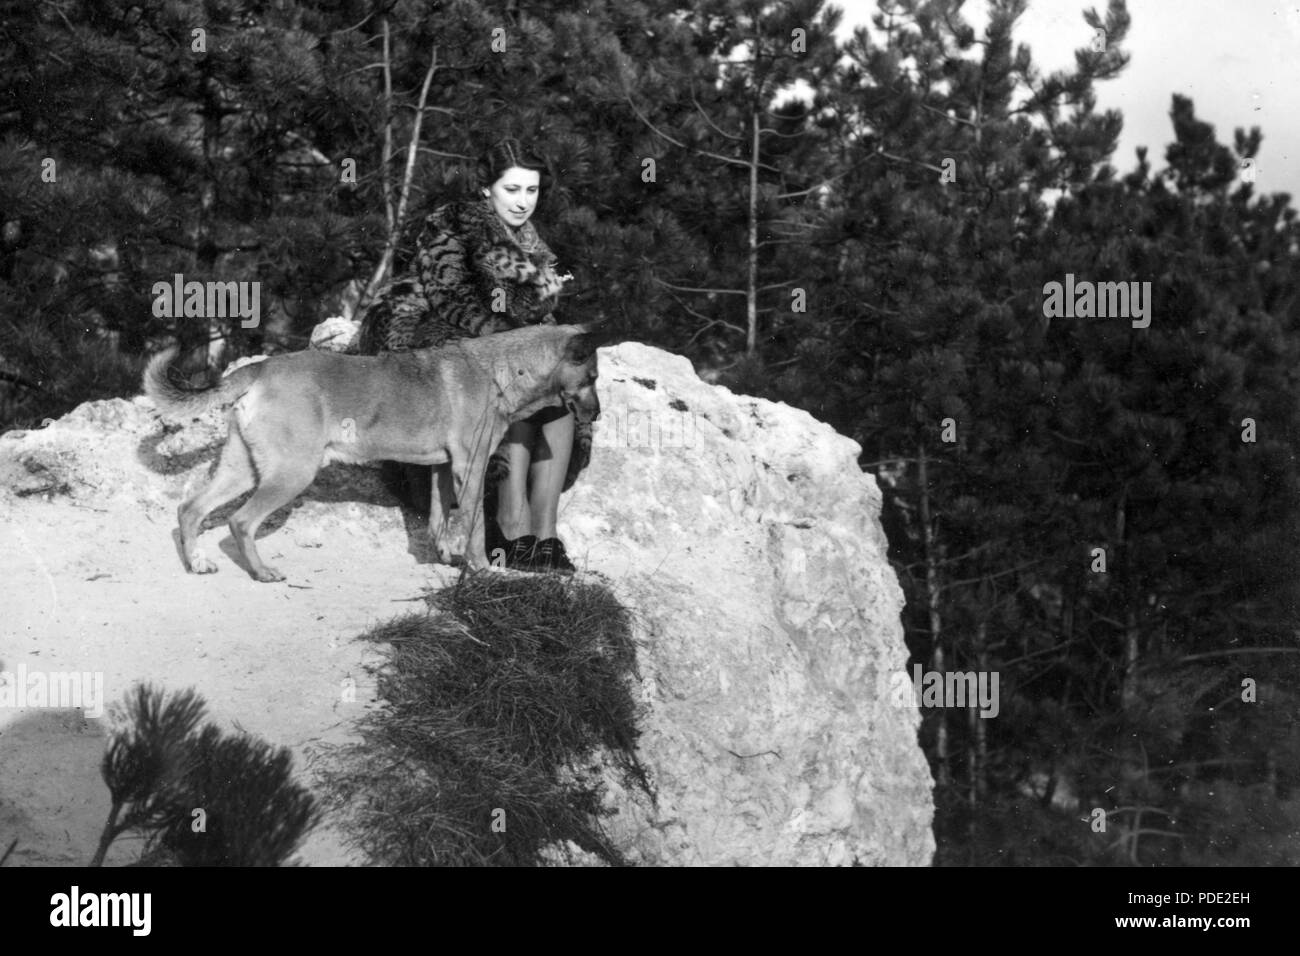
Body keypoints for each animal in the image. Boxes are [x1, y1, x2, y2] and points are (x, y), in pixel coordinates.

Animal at [142, 321, 603, 580]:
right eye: (593, 377)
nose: (597, 414)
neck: (500, 370)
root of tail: (260, 369)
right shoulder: (469, 469)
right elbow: (473, 528)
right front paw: (482, 570)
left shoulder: (443, 470)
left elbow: (438, 520)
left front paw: (446, 559)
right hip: (291, 473)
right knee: (239, 522)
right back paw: (262, 572)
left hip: (243, 469)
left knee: (191, 509)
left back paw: (197, 563)